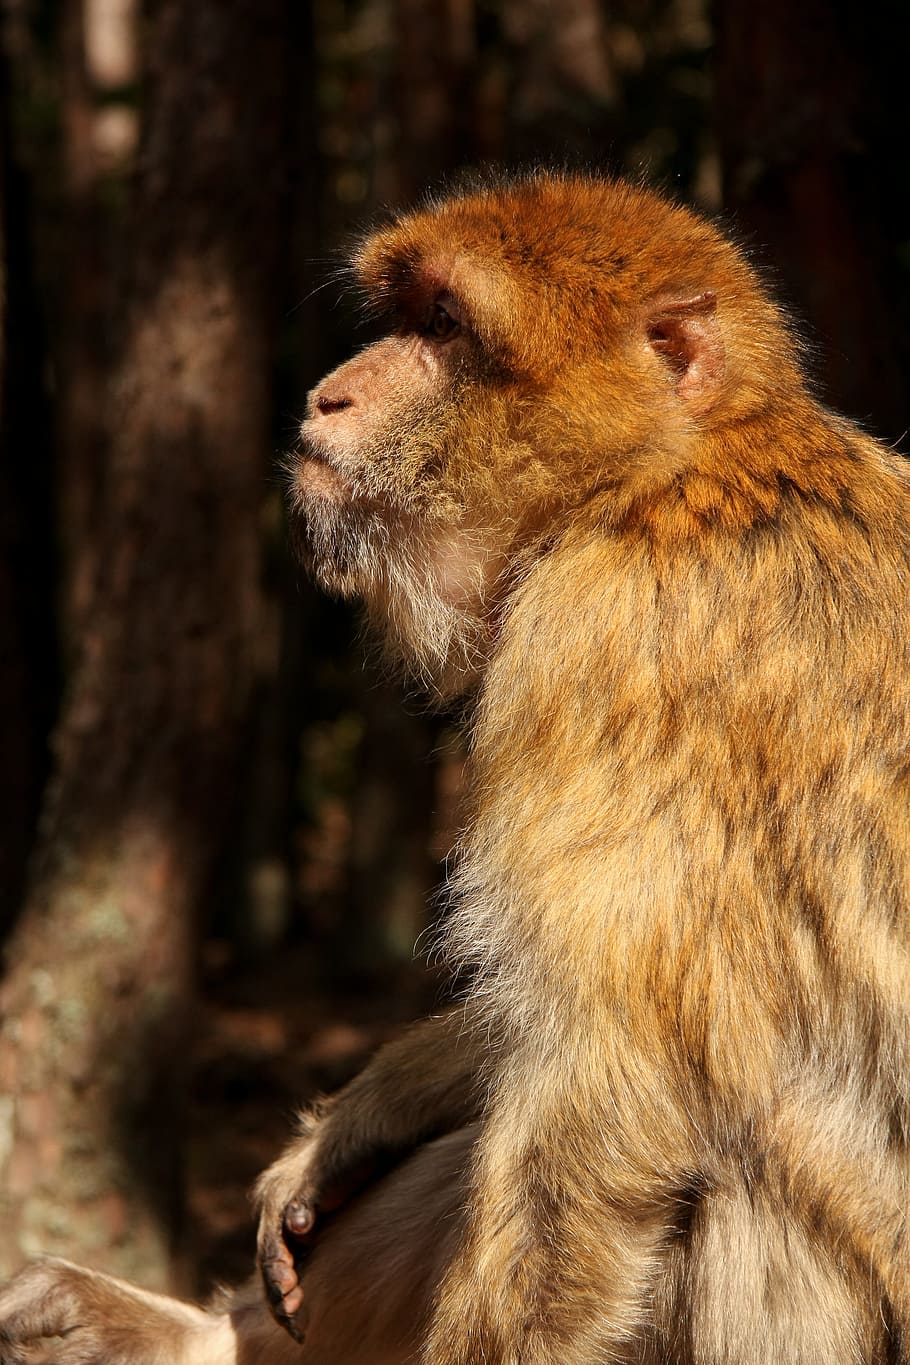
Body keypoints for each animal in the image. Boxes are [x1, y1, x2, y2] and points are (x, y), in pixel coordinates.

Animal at [2, 170, 910, 1365]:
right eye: (403, 312)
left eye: (443, 326)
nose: (326, 397)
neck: (659, 477)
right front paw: (364, 1113)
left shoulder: (604, 637)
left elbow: (609, 1092)